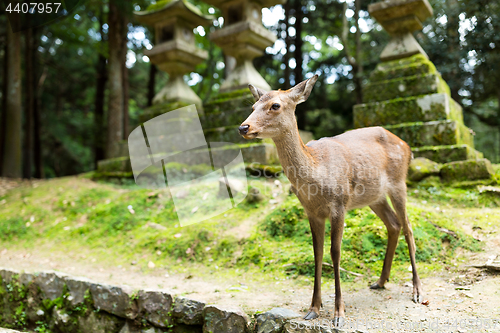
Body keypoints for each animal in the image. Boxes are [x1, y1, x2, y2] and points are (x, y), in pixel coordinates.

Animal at [238, 74, 422, 326]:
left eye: (275, 105)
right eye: (253, 106)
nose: (243, 127)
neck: (317, 173)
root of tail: (407, 146)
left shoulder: (339, 204)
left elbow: (335, 252)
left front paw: (338, 314)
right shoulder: (311, 211)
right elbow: (317, 252)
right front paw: (313, 308)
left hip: (399, 183)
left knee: (408, 227)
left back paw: (417, 291)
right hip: (374, 196)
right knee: (393, 224)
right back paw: (380, 281)